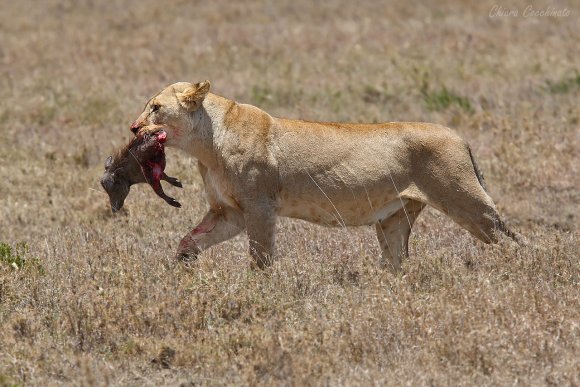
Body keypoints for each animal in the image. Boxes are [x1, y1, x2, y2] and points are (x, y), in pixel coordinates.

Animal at [129, 80, 520, 272]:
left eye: (156, 107)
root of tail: (459, 136)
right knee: (397, 263)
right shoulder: (230, 213)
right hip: (395, 218)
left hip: (466, 201)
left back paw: (519, 273)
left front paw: (260, 293)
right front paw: (182, 269)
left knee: (511, 240)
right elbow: (190, 240)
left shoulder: (260, 207)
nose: (133, 128)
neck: (206, 145)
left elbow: (260, 257)